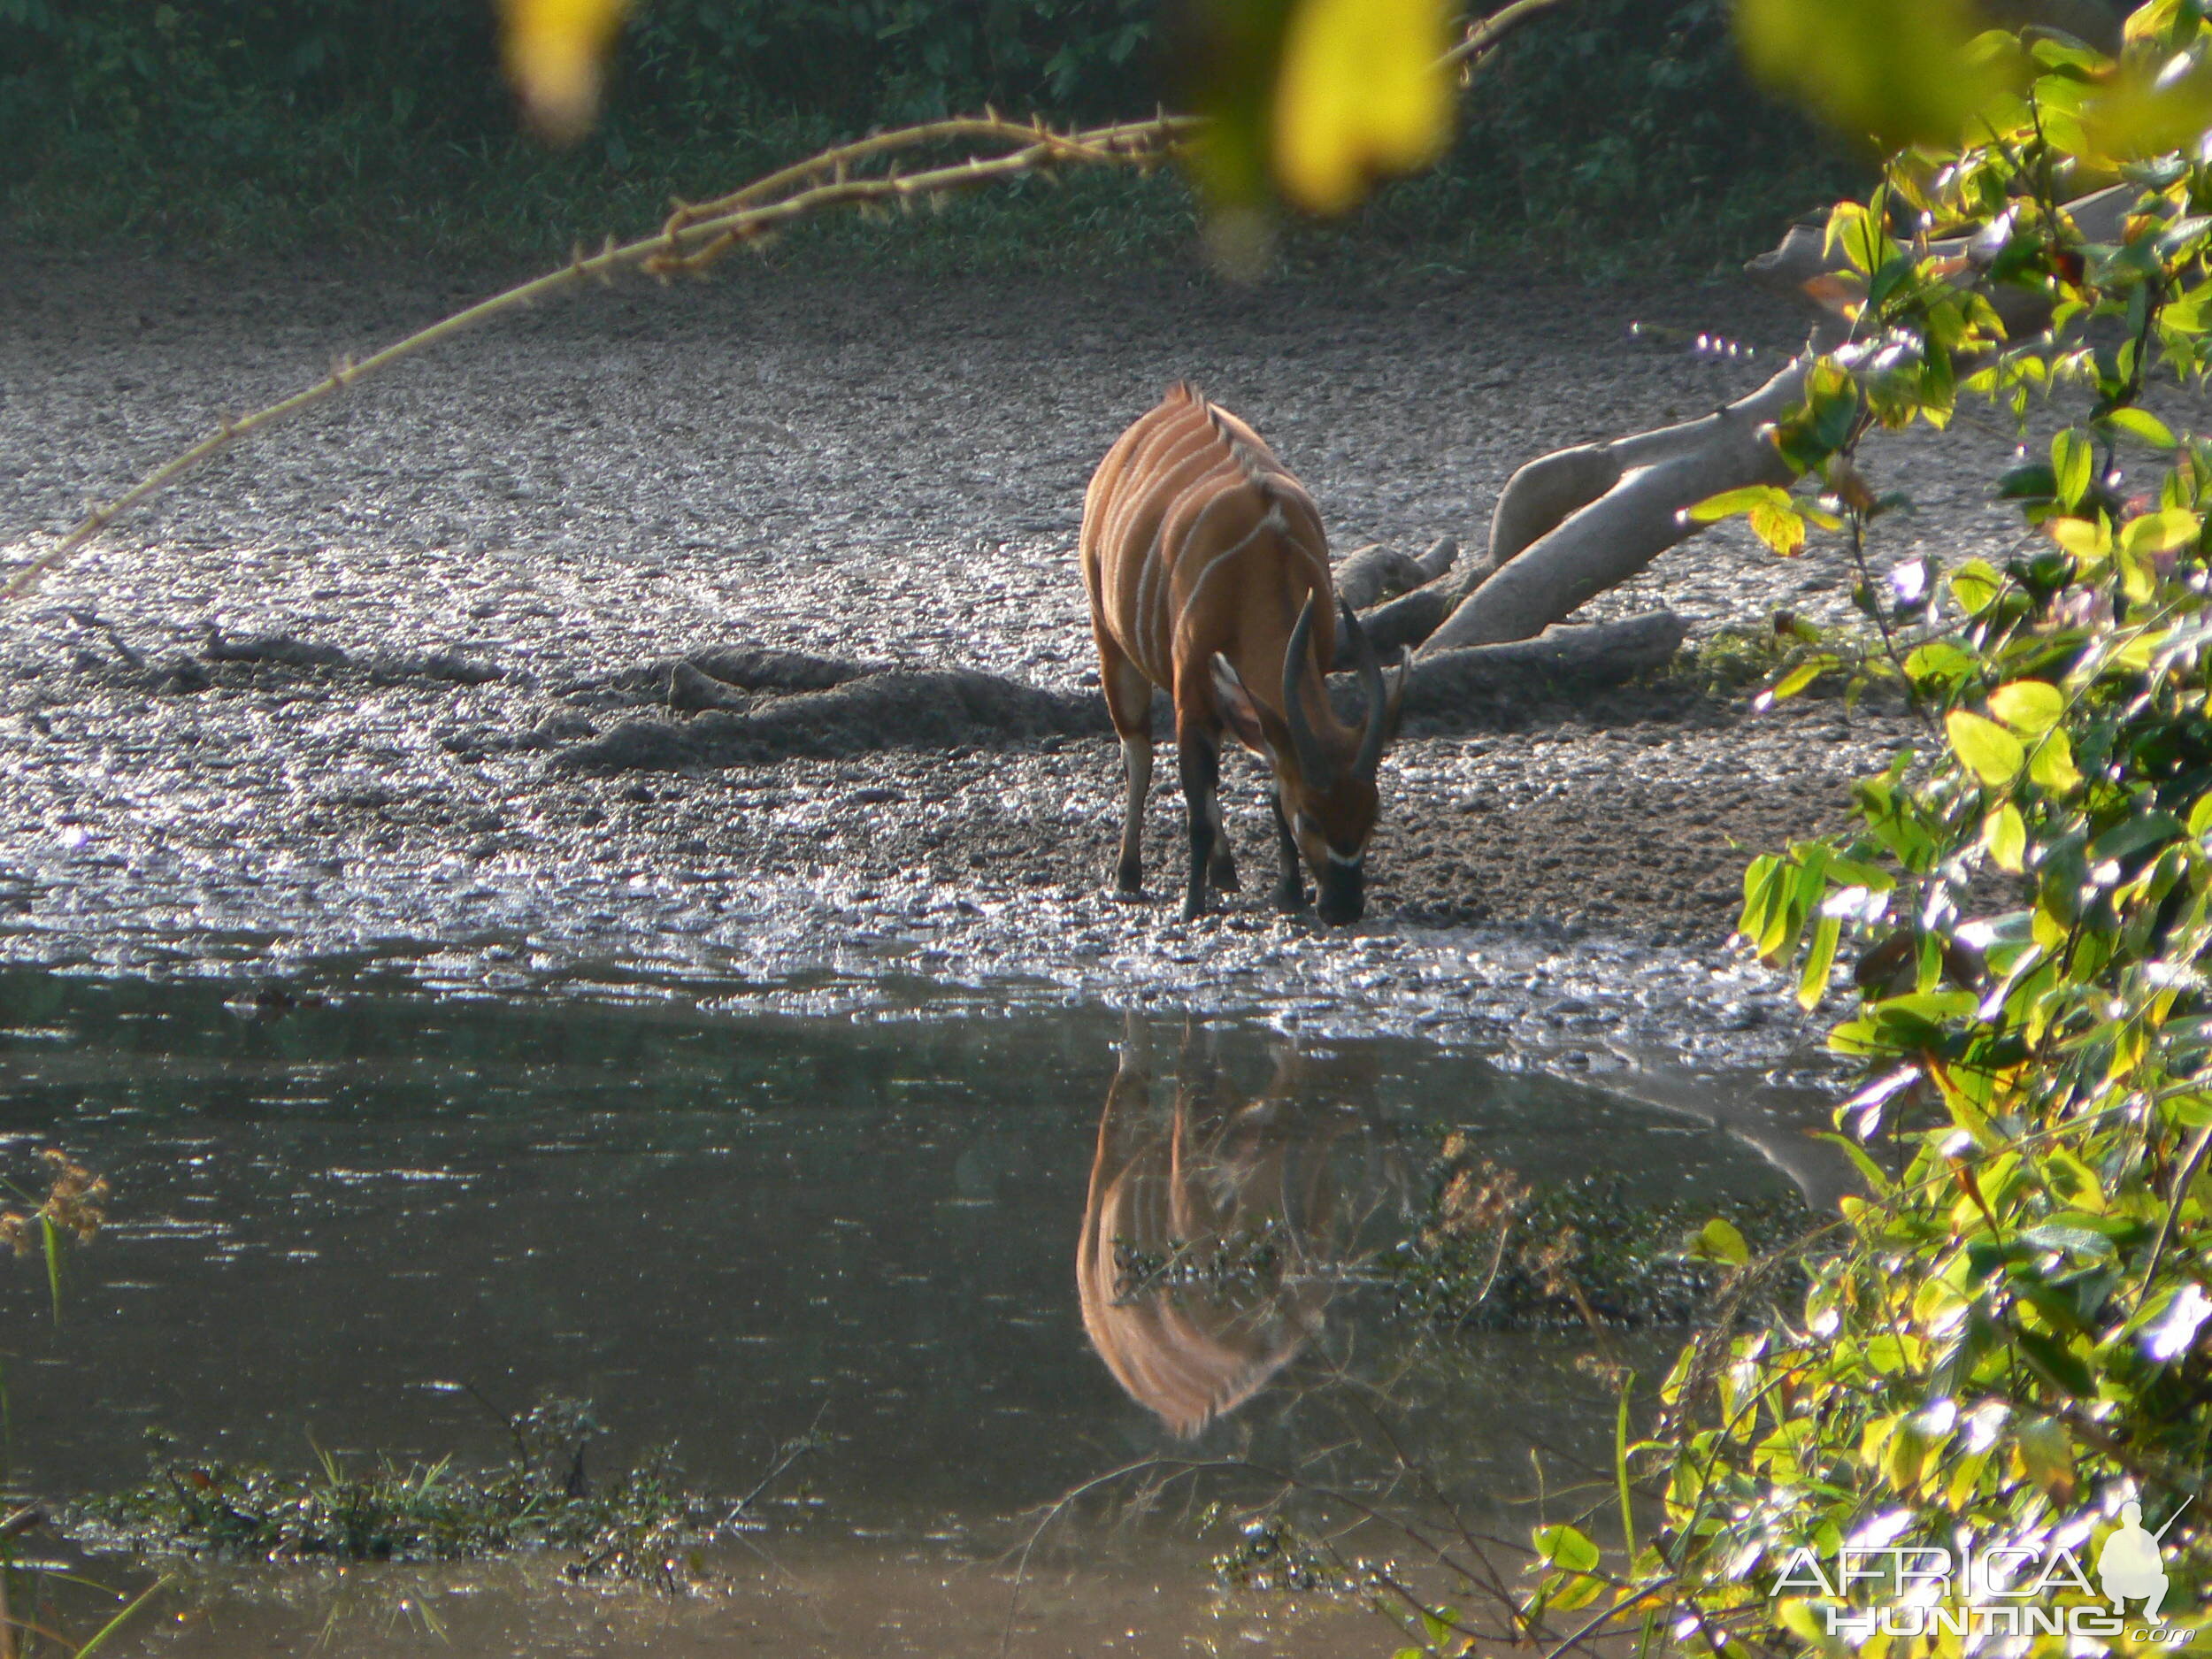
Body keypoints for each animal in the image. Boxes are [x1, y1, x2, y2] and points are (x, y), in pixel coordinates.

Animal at [1079, 385, 1407, 929]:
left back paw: (1225, 872)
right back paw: (1129, 875)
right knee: (1139, 753)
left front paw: (1290, 892)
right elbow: (1194, 802)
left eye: (1373, 813)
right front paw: (1192, 905)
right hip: (1112, 643)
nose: (1343, 906)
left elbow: (1267, 781)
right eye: (1310, 816)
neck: (1263, 557)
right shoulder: (1190, 691)